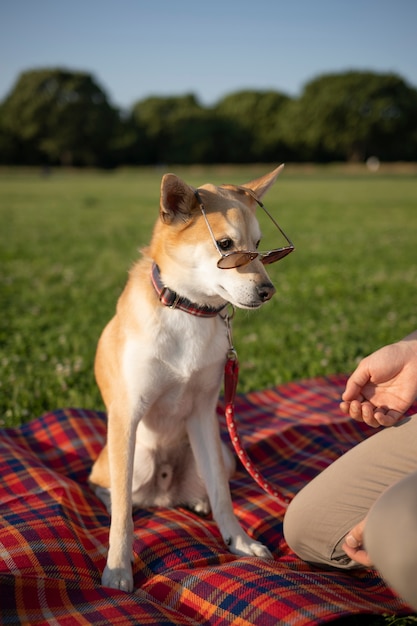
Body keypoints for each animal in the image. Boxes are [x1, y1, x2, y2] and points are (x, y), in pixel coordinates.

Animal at [90, 163, 292, 588]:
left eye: (259, 244)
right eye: (226, 245)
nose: (268, 290)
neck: (186, 310)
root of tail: (165, 493)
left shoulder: (203, 413)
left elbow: (222, 495)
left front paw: (239, 541)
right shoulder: (126, 416)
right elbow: (124, 515)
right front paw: (118, 568)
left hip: (225, 451)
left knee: (209, 484)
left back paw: (196, 501)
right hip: (131, 456)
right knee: (110, 488)